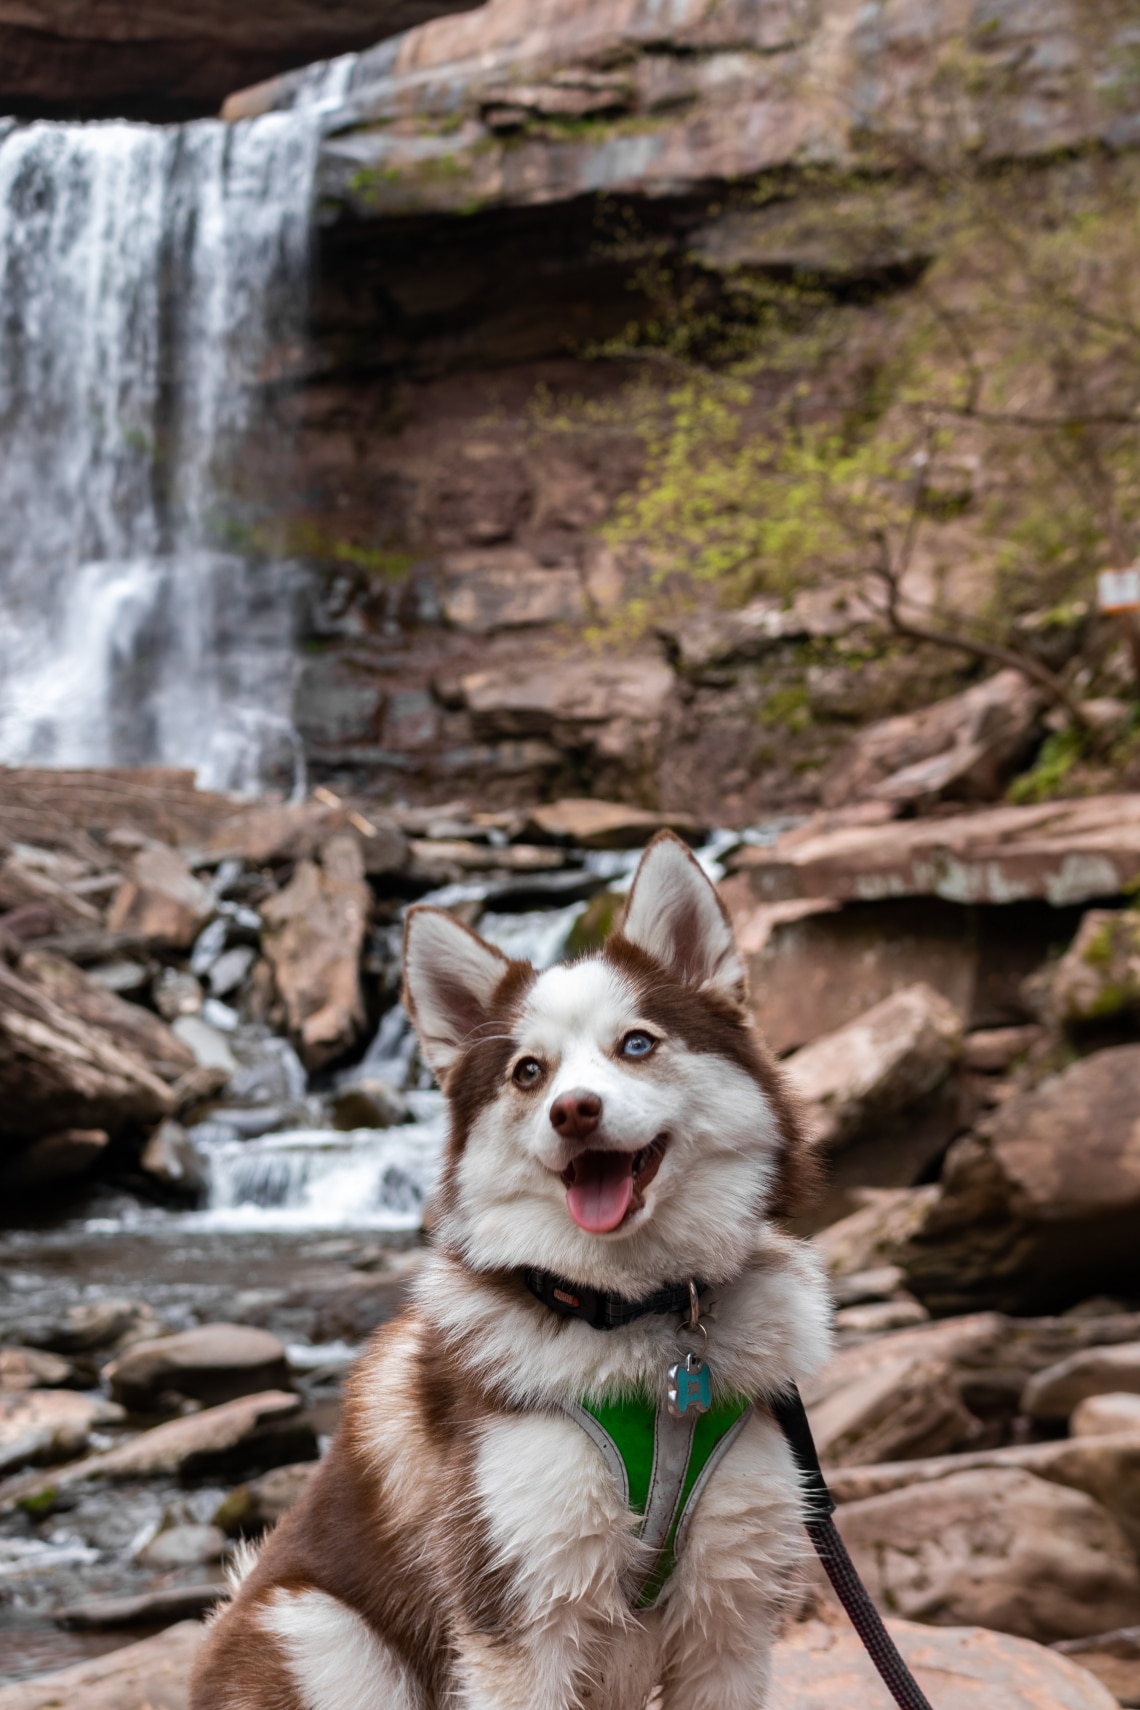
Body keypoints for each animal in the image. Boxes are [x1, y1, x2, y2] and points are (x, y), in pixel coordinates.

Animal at [187, 831, 830, 1710]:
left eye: (637, 1043)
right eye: (529, 1071)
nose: (574, 1111)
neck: (642, 1320)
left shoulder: (729, 1616)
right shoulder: (520, 1619)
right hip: (323, 1633)